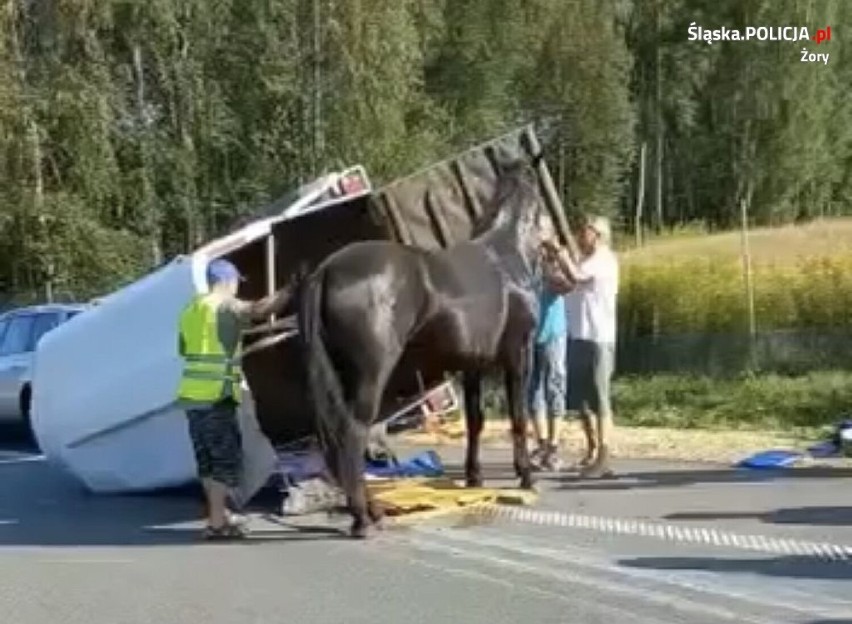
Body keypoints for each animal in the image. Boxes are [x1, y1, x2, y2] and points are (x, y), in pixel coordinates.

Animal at [300, 161, 544, 536]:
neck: (506, 257)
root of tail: (326, 270)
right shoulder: (518, 354)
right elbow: (519, 417)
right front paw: (526, 476)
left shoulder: (472, 364)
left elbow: (475, 421)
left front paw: (474, 478)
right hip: (371, 375)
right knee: (353, 432)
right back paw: (363, 519)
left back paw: (372, 511)